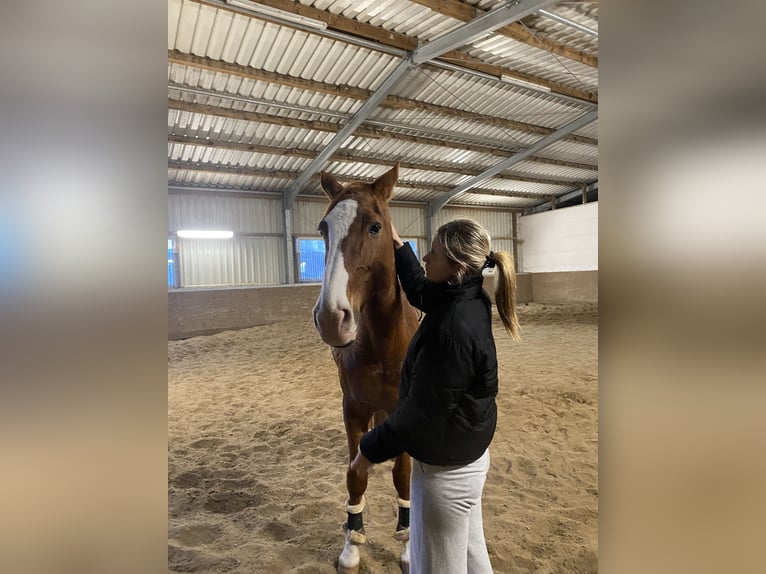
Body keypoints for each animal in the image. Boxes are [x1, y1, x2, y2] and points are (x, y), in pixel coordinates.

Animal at [312, 163, 419, 574]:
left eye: (375, 226)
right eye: (323, 229)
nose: (331, 317)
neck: (384, 344)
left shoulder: (403, 409)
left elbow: (403, 477)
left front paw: (407, 545)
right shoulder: (354, 406)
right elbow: (355, 474)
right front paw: (351, 545)